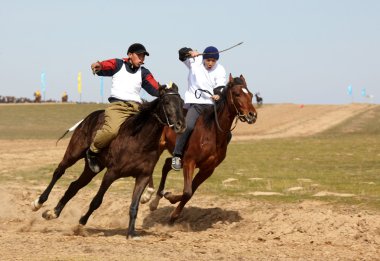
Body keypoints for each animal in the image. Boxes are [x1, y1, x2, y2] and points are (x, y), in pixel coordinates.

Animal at [31, 83, 186, 238]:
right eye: (166, 102)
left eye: (182, 103)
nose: (181, 125)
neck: (139, 140)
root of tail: (88, 118)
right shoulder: (111, 174)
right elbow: (97, 201)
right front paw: (81, 222)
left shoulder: (143, 176)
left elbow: (134, 206)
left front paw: (131, 233)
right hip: (73, 154)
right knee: (59, 172)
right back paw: (38, 203)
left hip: (91, 169)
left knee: (74, 186)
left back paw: (53, 212)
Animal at [145, 74, 258, 222]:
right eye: (237, 94)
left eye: (250, 94)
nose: (252, 115)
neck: (212, 131)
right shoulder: (189, 162)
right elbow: (187, 191)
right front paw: (173, 214)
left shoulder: (207, 169)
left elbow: (190, 191)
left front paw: (171, 199)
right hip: (159, 147)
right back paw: (148, 195)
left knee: (167, 164)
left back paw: (155, 200)